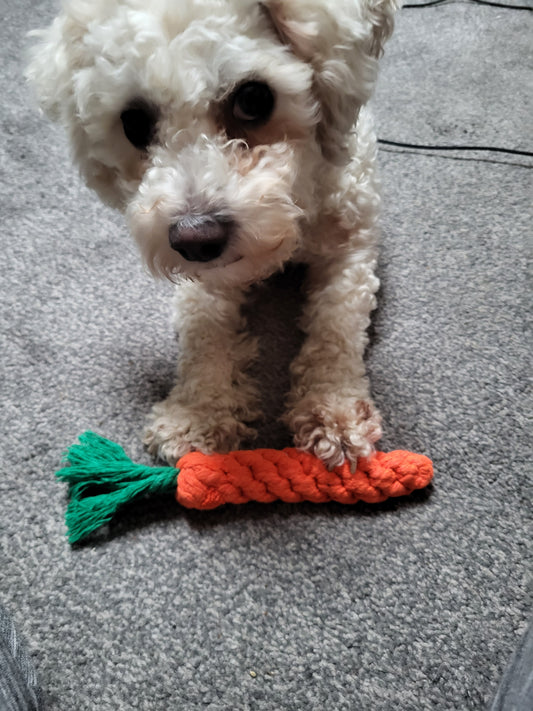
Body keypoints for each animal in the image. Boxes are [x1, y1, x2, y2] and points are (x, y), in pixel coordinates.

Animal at [27, 0, 396, 470]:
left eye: (253, 98)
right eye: (134, 123)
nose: (196, 240)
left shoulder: (351, 250)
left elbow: (336, 327)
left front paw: (334, 412)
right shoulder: (205, 280)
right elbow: (204, 332)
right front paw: (198, 413)